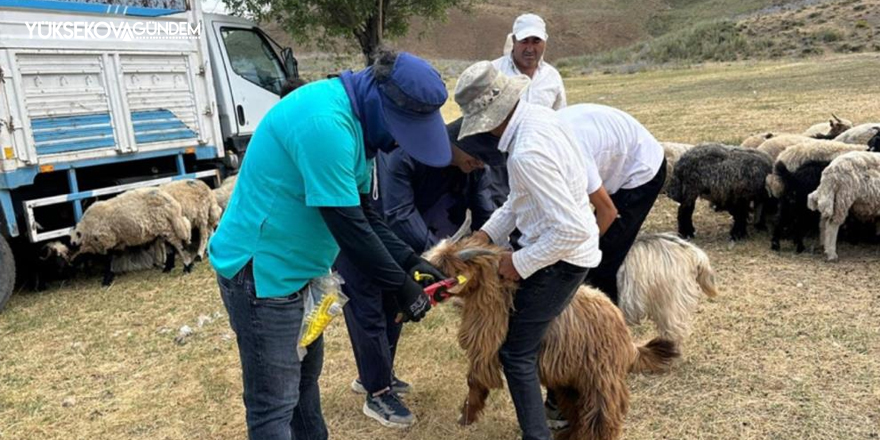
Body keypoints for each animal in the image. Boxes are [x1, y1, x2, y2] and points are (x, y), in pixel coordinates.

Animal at [426, 237, 680, 440]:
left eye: (444, 270)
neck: (500, 294)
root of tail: (627, 340)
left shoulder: (486, 349)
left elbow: (475, 381)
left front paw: (465, 418)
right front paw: (465, 418)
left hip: (601, 377)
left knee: (603, 414)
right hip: (570, 380)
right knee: (577, 410)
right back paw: (568, 435)